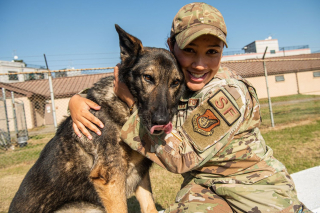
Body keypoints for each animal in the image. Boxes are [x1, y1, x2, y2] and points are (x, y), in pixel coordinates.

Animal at [9, 25, 185, 213]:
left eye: (175, 83)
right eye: (148, 78)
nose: (161, 121)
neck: (125, 106)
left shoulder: (140, 173)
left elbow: (149, 206)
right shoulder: (111, 179)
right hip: (84, 207)